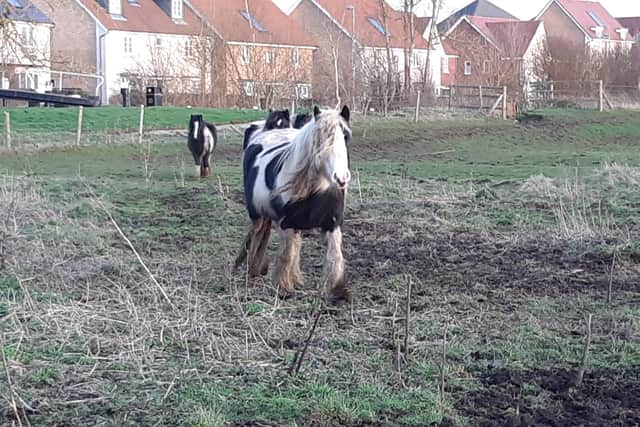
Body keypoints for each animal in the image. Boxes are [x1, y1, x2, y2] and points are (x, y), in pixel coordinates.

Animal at [235, 106, 352, 301]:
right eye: (319, 138)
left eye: (346, 136)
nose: (341, 178)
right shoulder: (287, 223)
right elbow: (287, 255)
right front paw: (283, 288)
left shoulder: (333, 223)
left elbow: (334, 254)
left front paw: (337, 290)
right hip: (257, 215)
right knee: (258, 237)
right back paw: (252, 268)